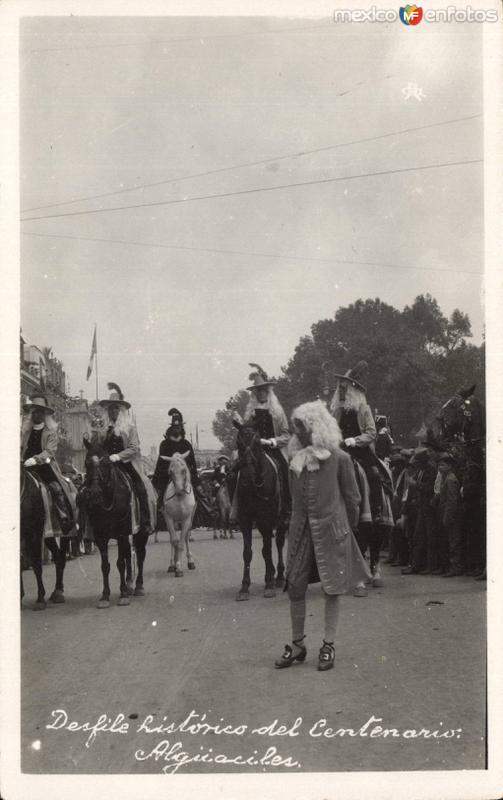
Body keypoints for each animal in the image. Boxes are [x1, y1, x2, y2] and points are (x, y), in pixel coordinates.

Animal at [20, 466, 69, 608]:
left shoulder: (33, 536)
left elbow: (36, 565)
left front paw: (40, 599)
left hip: (65, 535)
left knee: (61, 559)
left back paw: (59, 592)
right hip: (49, 538)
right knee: (57, 557)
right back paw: (55, 592)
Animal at [80, 438, 150, 608]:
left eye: (106, 462)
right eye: (87, 462)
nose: (94, 492)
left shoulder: (121, 533)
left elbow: (120, 563)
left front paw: (123, 594)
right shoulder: (101, 536)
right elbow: (106, 566)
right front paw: (105, 596)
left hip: (140, 533)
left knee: (140, 555)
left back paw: (138, 586)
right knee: (128, 555)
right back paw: (130, 583)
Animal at [233, 424, 286, 600]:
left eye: (257, 443)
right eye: (239, 443)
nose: (247, 477)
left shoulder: (266, 519)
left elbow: (267, 550)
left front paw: (269, 583)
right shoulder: (246, 520)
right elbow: (247, 552)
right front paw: (244, 587)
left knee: (279, 543)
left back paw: (280, 576)